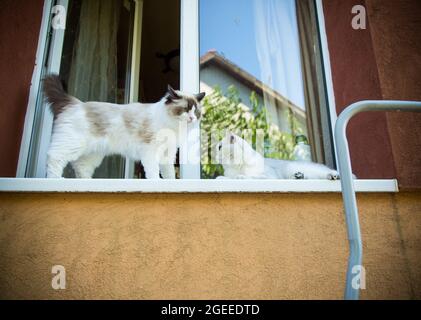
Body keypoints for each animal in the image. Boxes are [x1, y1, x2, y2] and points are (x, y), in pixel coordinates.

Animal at [42, 75, 205, 180]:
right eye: (185, 110)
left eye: (196, 111)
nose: (192, 118)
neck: (172, 126)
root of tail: (76, 103)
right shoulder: (150, 151)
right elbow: (153, 172)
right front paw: (156, 183)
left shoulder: (167, 153)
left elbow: (169, 174)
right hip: (73, 144)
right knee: (54, 157)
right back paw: (55, 180)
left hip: (93, 154)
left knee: (81, 167)